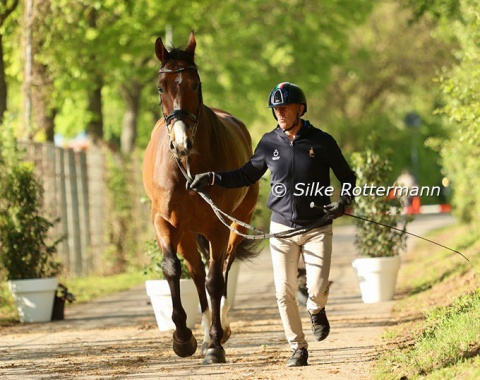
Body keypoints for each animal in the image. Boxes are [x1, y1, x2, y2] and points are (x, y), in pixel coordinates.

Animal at [142, 31, 260, 364]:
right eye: (161, 87)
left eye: (195, 84)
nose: (182, 142)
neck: (187, 168)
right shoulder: (164, 222)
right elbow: (173, 270)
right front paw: (183, 338)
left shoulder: (218, 226)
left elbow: (216, 280)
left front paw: (216, 343)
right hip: (186, 232)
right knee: (195, 272)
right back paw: (204, 330)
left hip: (238, 224)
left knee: (223, 268)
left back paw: (220, 328)